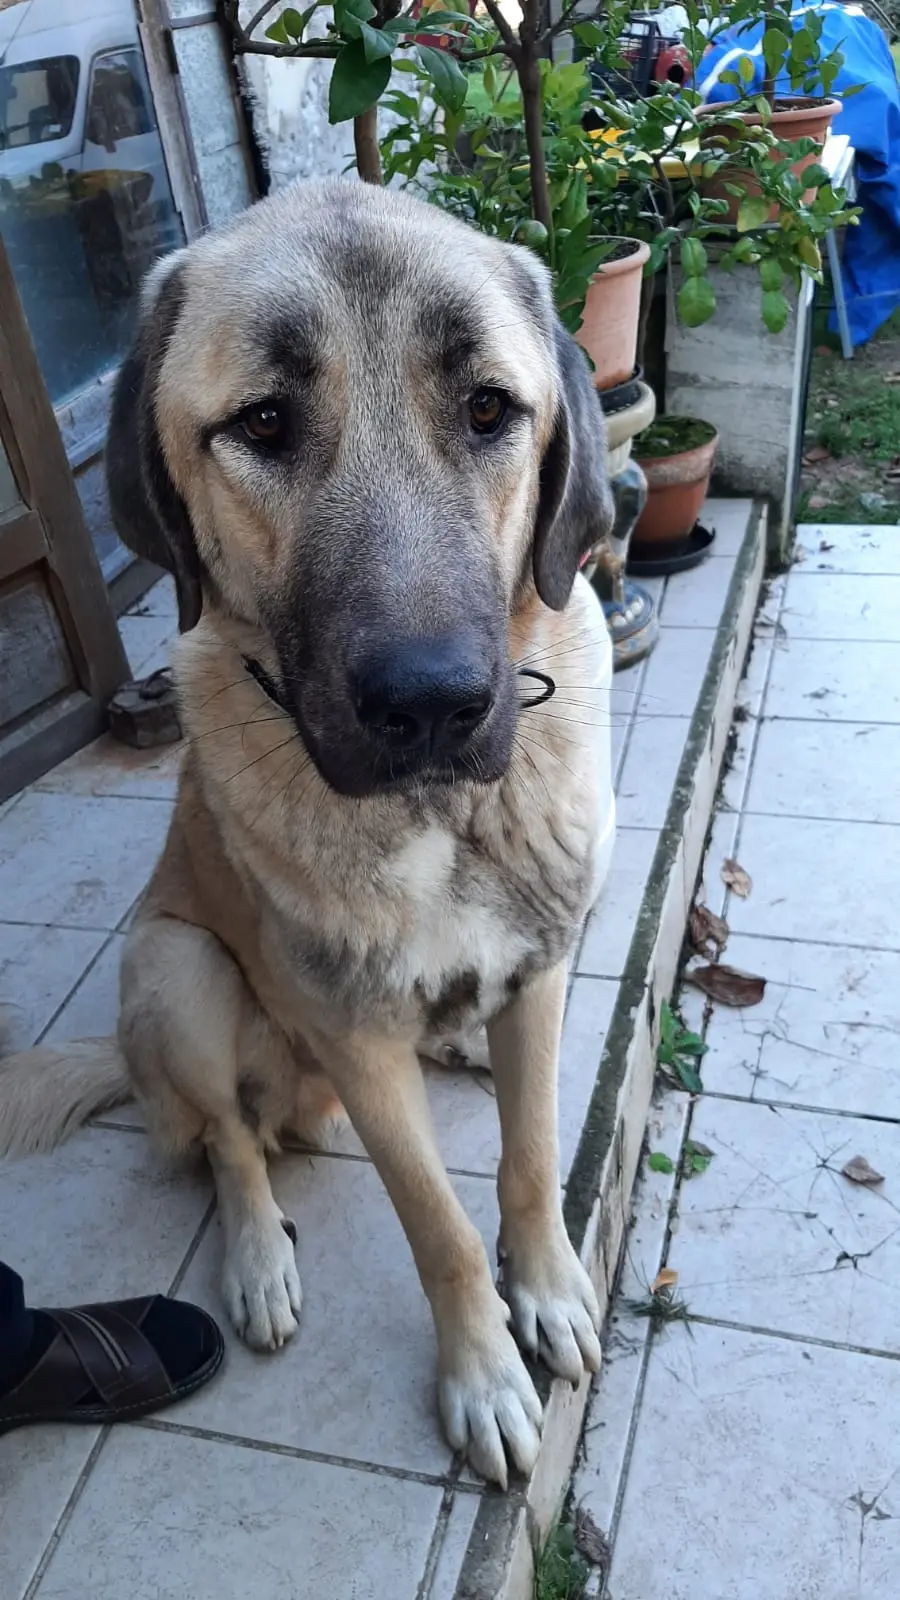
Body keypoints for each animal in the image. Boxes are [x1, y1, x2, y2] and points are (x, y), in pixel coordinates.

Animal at [0, 184, 611, 1484]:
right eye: (265, 423)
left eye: (490, 408)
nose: (431, 703)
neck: (441, 816)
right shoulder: (357, 1037)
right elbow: (437, 1225)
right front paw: (482, 1371)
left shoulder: (541, 969)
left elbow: (531, 1161)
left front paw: (544, 1289)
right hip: (173, 964)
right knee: (230, 1143)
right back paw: (259, 1257)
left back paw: (461, 1044)